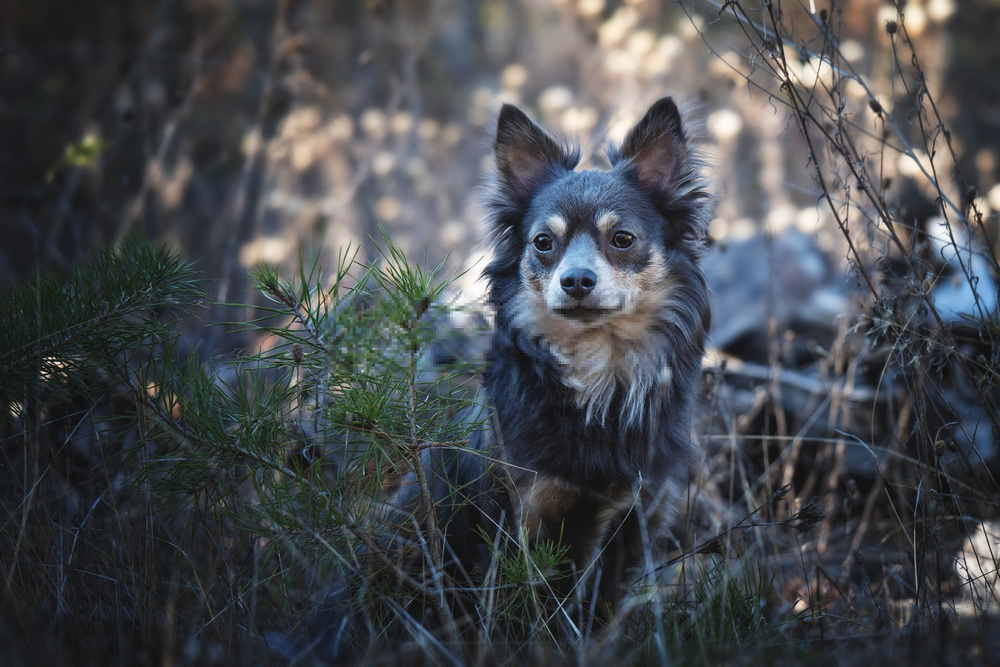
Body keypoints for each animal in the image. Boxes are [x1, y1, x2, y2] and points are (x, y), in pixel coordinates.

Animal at [312, 96, 712, 660]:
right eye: (543, 242)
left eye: (623, 239)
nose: (576, 281)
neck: (596, 376)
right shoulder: (520, 523)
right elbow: (521, 624)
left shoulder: (634, 525)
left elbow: (596, 624)